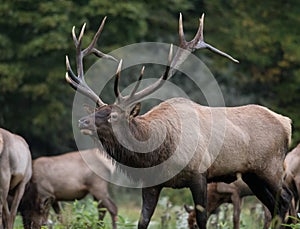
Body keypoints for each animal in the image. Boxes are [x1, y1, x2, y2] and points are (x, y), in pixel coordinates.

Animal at [64, 14, 292, 229]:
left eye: (113, 115)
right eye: (97, 111)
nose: (82, 122)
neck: (156, 154)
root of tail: (287, 123)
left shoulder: (199, 173)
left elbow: (202, 218)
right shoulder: (150, 184)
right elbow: (143, 220)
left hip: (271, 167)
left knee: (285, 200)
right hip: (252, 175)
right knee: (275, 205)